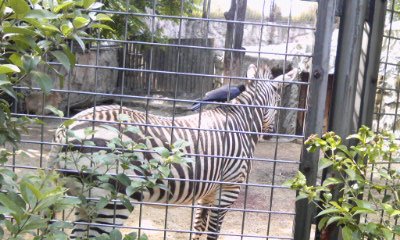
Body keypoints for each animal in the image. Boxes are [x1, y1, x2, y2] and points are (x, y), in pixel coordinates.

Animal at [47, 64, 294, 240]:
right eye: (279, 99)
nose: (271, 134)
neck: (240, 123)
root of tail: (64, 130)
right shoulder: (228, 189)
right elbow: (213, 232)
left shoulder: (207, 193)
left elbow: (198, 228)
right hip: (111, 199)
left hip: (81, 196)